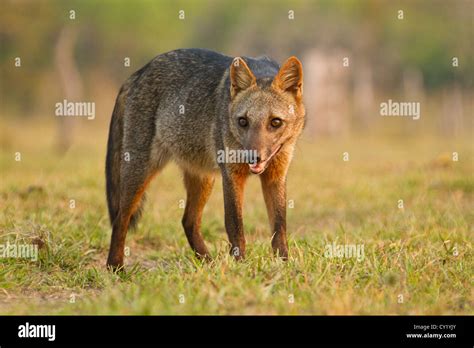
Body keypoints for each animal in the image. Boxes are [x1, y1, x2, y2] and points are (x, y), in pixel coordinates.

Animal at [105, 48, 306, 270]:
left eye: (275, 122)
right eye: (243, 121)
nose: (252, 156)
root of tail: (139, 72)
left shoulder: (275, 176)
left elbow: (279, 228)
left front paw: (285, 265)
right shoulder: (232, 175)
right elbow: (235, 226)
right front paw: (240, 267)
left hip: (204, 180)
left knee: (188, 221)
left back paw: (208, 264)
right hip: (140, 174)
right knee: (120, 219)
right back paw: (115, 267)